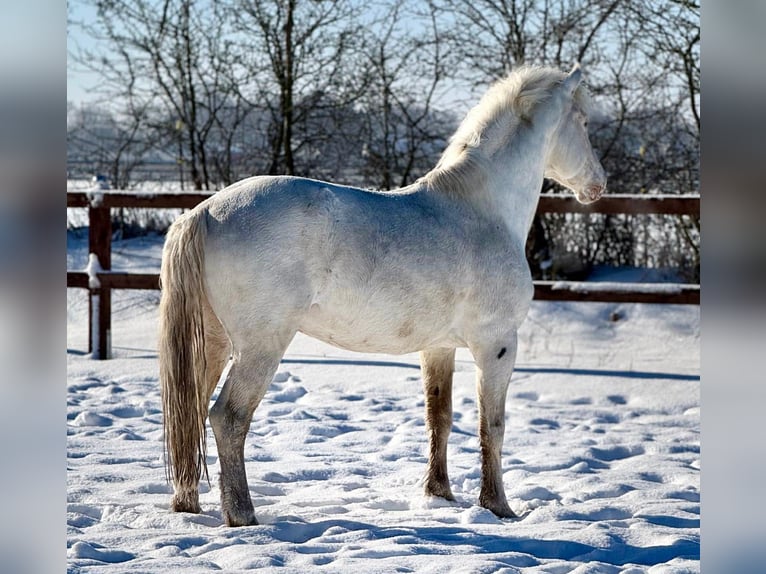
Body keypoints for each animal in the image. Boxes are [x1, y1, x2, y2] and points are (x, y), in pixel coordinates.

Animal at [159, 64, 606, 527]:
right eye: (583, 122)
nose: (598, 185)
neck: (482, 210)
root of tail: (204, 213)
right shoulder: (497, 345)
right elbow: (492, 426)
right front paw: (498, 507)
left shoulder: (438, 348)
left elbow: (439, 419)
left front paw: (439, 496)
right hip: (260, 347)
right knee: (228, 418)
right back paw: (243, 515)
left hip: (212, 342)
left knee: (190, 410)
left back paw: (187, 506)